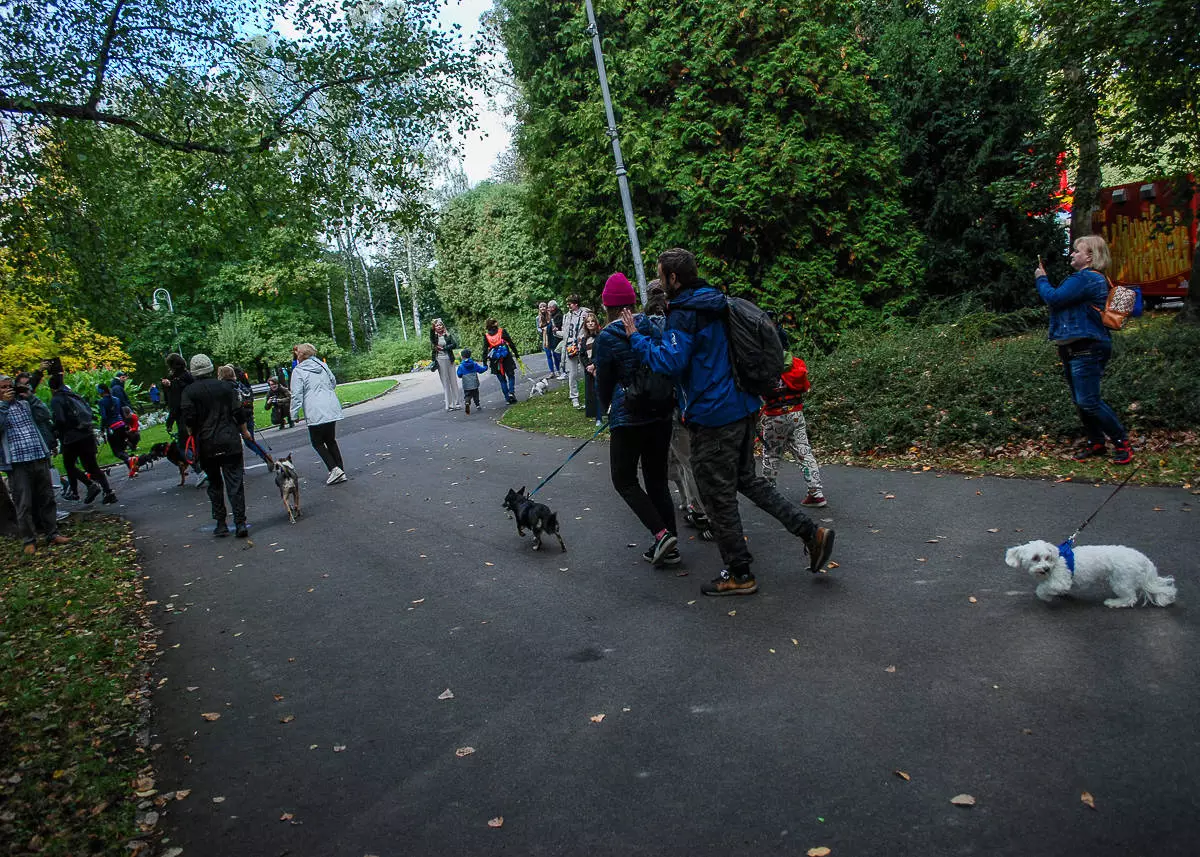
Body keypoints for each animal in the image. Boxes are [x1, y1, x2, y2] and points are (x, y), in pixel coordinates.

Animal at [1003, 537, 1180, 604]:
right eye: (1035, 558)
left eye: (1047, 557)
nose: (1046, 568)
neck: (1057, 561)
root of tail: (1143, 559)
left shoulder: (1061, 580)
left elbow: (1043, 588)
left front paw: (1046, 596)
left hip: (1121, 580)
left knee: (1130, 598)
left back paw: (1114, 603)